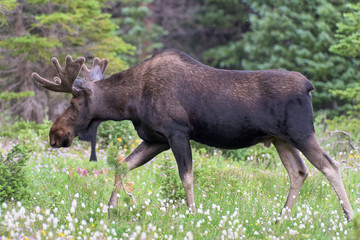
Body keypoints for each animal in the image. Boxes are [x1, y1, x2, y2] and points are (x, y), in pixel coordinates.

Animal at [32, 48, 352, 221]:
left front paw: (193, 215)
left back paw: (349, 216)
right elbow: (122, 165)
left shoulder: (176, 132)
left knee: (330, 165)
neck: (131, 102)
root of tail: (309, 86)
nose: (55, 134)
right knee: (299, 172)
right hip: (280, 139)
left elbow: (186, 176)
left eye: (74, 104)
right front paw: (112, 208)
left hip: (301, 132)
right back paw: (280, 218)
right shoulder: (155, 138)